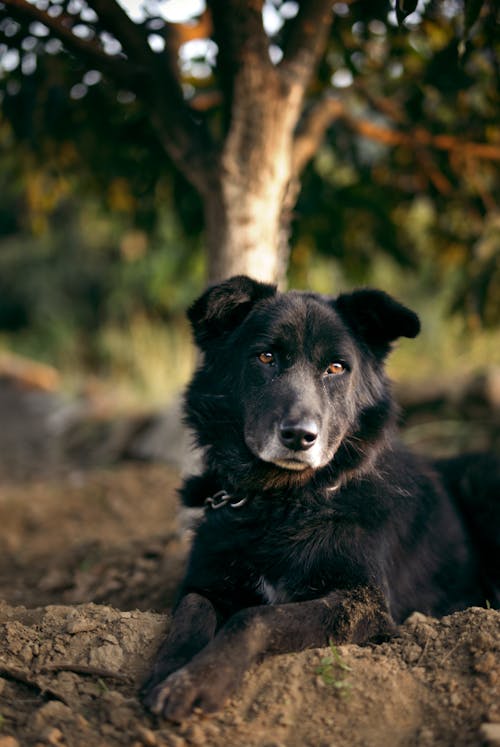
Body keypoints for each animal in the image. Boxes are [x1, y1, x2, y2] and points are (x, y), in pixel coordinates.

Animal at [142, 278, 500, 720]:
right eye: (266, 357)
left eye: (336, 368)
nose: (299, 436)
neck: (284, 502)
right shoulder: (206, 580)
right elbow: (193, 610)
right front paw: (172, 671)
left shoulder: (363, 602)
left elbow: (255, 618)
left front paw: (200, 681)